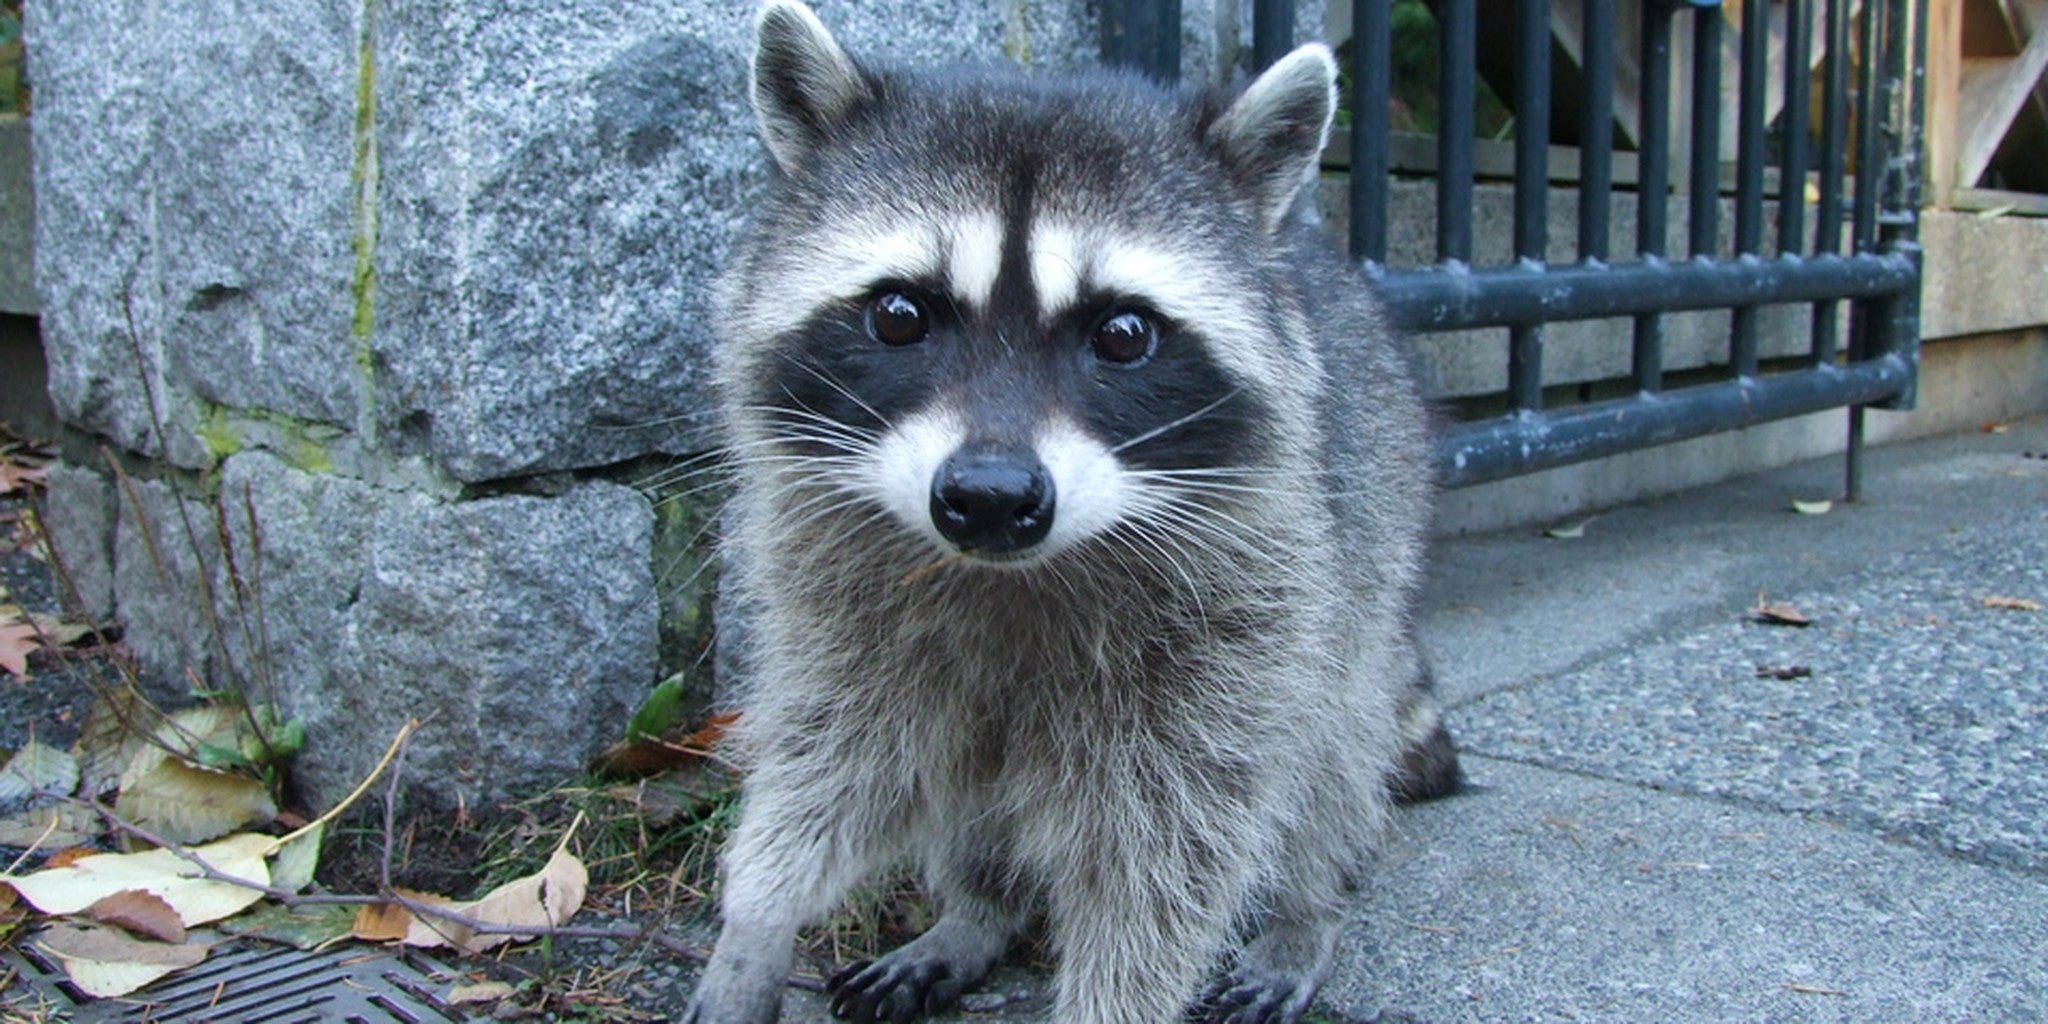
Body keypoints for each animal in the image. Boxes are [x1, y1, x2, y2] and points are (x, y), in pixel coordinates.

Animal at [686, 4, 1458, 1023]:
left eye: (1123, 335)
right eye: (899, 315)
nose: (990, 498)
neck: (1008, 572)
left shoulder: (1250, 604)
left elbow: (1173, 843)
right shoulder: (833, 588)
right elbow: (836, 754)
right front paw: (757, 920)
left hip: (1366, 559)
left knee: (1329, 747)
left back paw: (1306, 906)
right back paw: (977, 910)